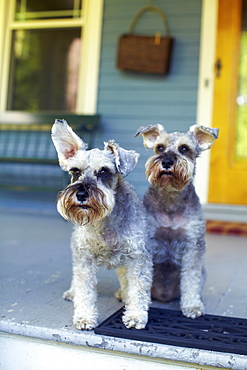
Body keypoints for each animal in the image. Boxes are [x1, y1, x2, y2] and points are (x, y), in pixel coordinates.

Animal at [51, 118, 152, 330]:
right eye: (75, 171)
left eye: (104, 171)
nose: (81, 194)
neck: (105, 221)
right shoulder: (84, 259)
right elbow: (84, 289)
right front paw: (84, 317)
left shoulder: (137, 257)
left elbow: (137, 288)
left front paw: (136, 315)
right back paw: (72, 292)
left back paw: (124, 293)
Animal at [135, 123, 218, 318]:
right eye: (159, 147)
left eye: (184, 148)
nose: (166, 162)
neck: (171, 198)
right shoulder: (147, 243)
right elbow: (141, 279)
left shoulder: (193, 245)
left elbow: (191, 278)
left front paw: (193, 306)